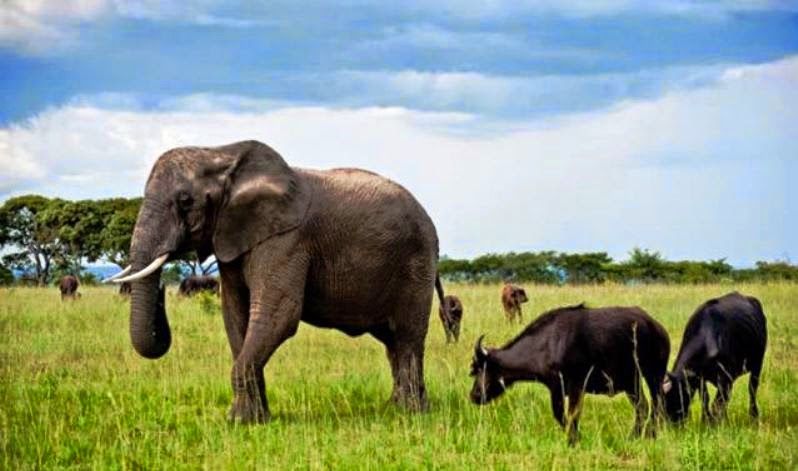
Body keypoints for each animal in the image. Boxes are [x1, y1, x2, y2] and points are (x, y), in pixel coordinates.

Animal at [111, 140, 442, 423]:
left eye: (184, 200)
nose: (163, 291)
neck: (221, 153)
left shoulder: (286, 240)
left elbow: (277, 315)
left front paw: (241, 422)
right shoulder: (233, 239)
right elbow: (235, 317)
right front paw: (253, 419)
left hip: (416, 263)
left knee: (408, 337)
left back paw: (411, 413)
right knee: (392, 342)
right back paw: (396, 408)